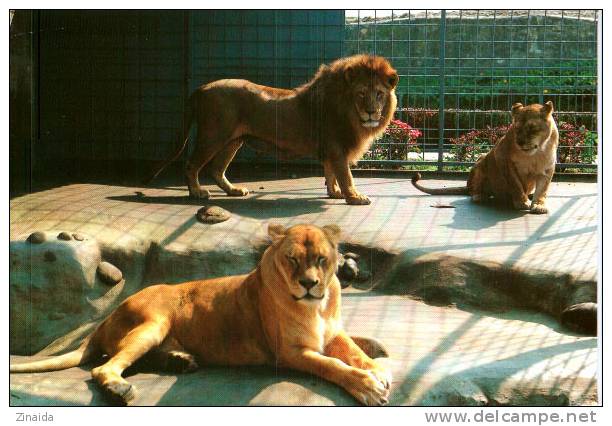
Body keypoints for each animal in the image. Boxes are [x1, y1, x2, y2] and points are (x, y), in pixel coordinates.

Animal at [10, 223, 392, 406]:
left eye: (322, 260)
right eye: (292, 259)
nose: (309, 284)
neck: (318, 306)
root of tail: (101, 322)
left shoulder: (333, 332)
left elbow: (351, 349)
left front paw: (376, 367)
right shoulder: (290, 353)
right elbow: (333, 365)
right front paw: (367, 386)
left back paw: (179, 361)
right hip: (154, 321)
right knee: (104, 367)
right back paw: (121, 388)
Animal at [145, 54, 400, 205]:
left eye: (379, 94)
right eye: (361, 93)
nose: (371, 112)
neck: (348, 109)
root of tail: (201, 88)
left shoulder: (330, 150)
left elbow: (330, 173)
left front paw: (334, 193)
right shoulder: (337, 147)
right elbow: (346, 175)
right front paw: (355, 197)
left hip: (233, 141)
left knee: (216, 170)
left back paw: (234, 191)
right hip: (213, 135)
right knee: (192, 165)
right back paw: (197, 192)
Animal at [412, 102, 560, 215]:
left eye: (532, 128)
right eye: (517, 129)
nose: (520, 142)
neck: (536, 152)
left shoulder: (547, 169)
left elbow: (542, 190)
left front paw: (539, 206)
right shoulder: (502, 158)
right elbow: (516, 184)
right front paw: (522, 202)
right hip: (481, 161)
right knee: (474, 192)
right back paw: (480, 196)